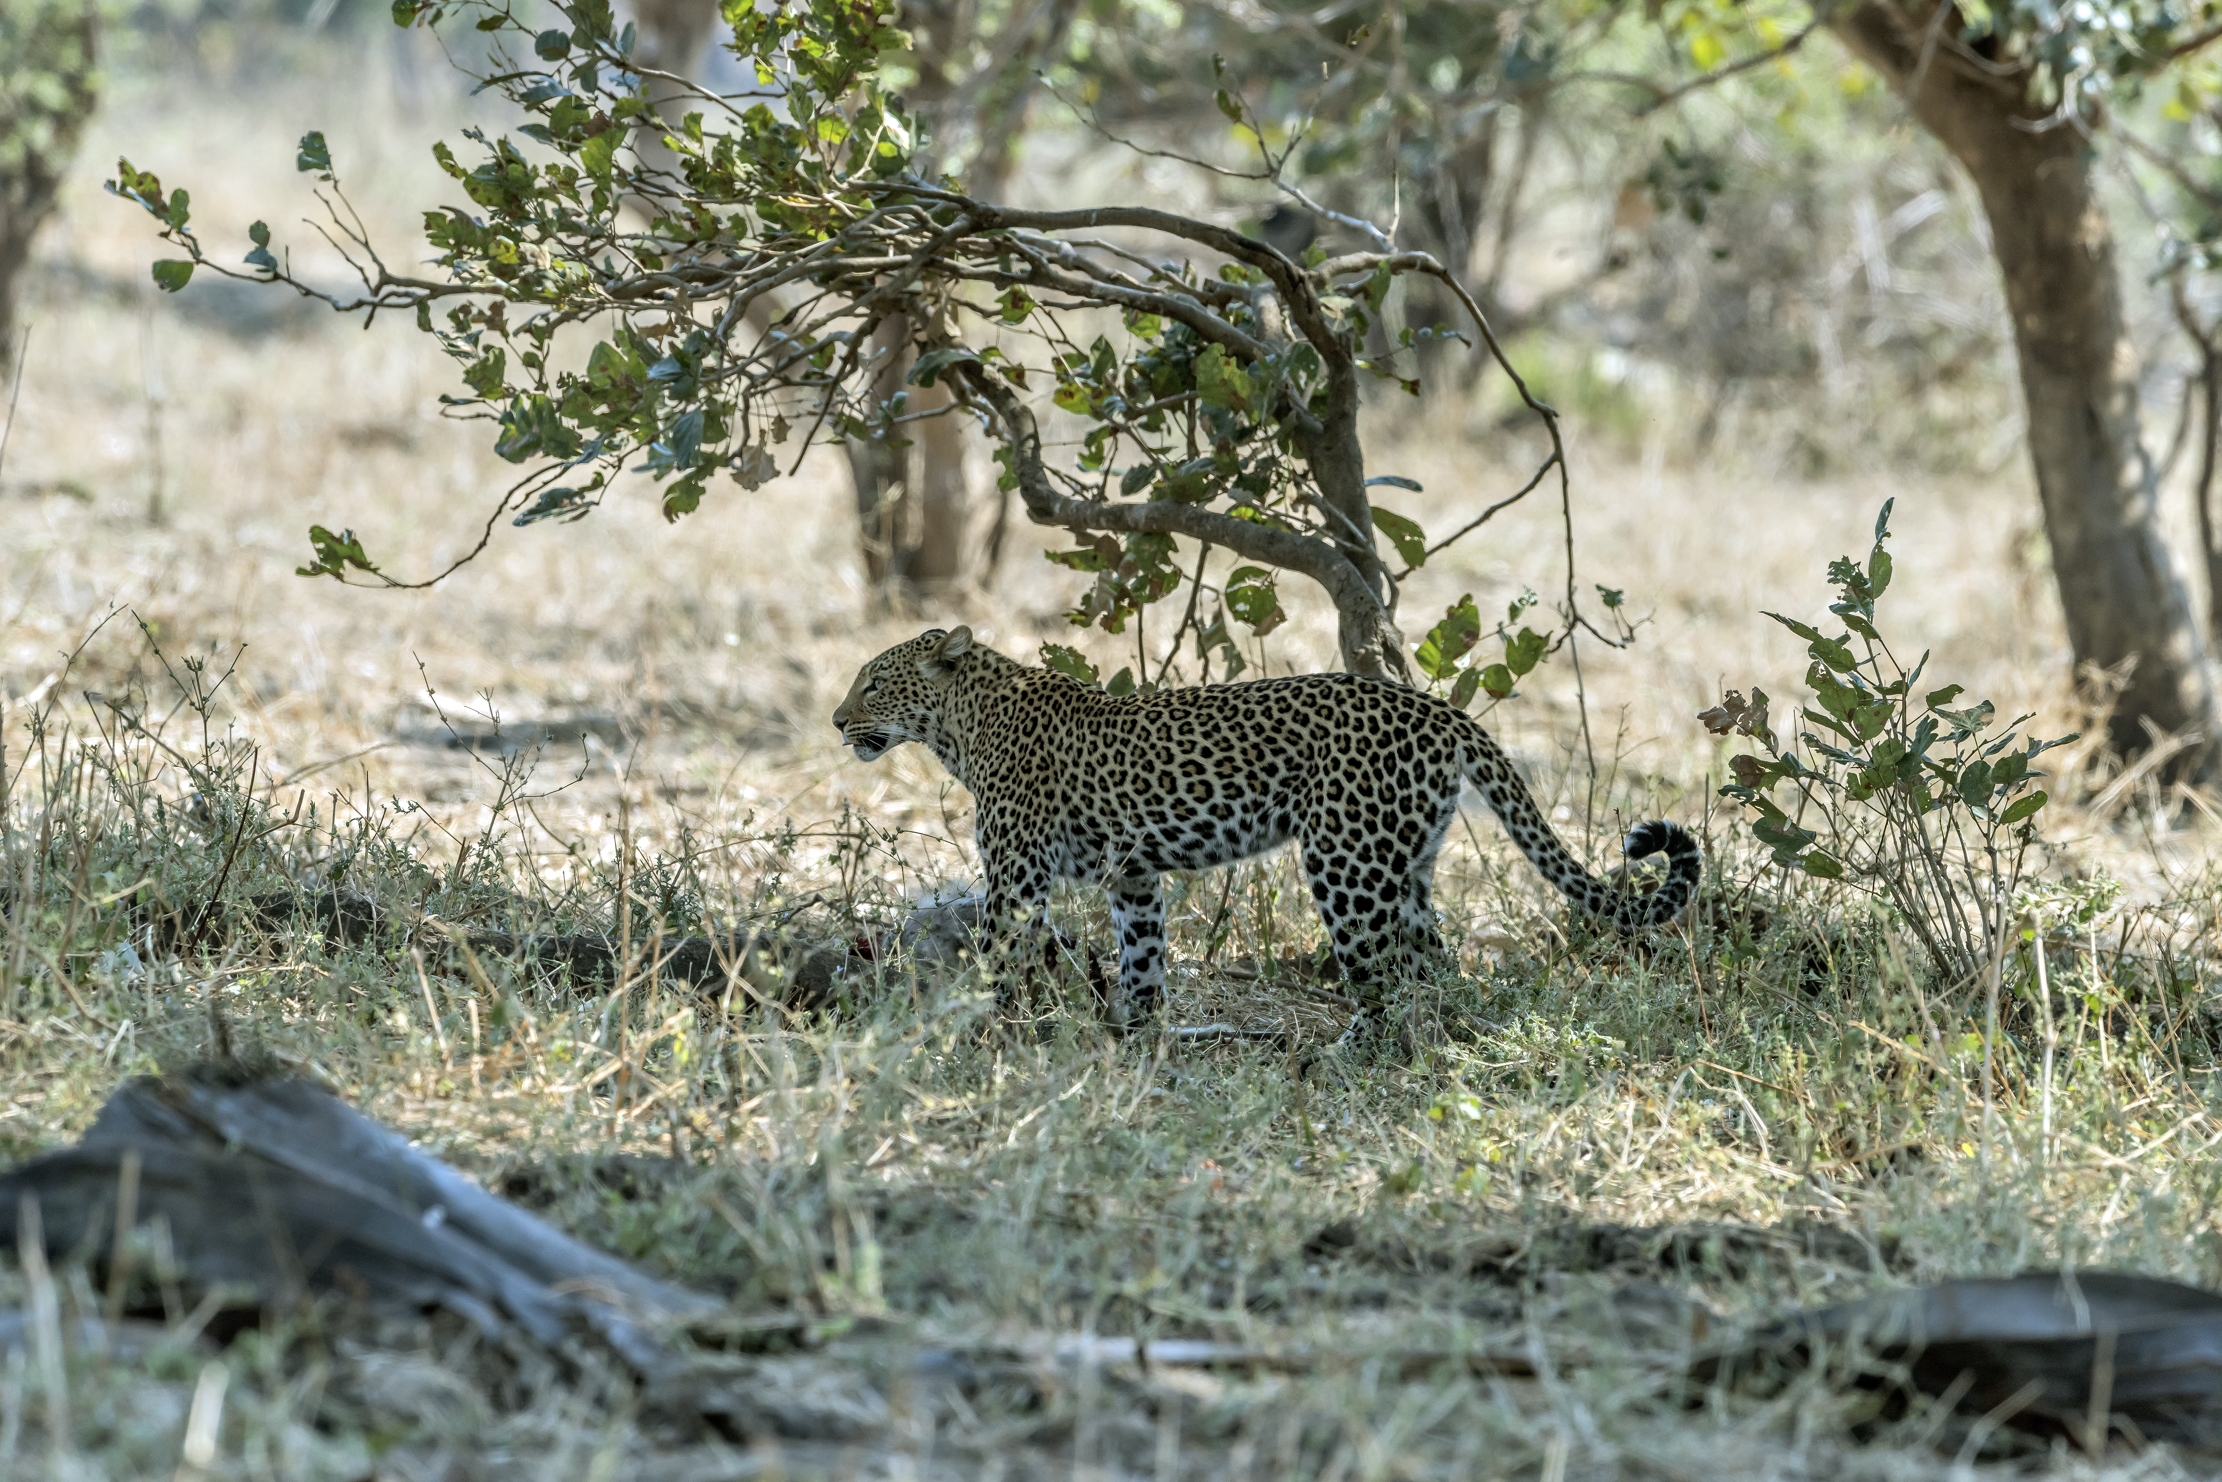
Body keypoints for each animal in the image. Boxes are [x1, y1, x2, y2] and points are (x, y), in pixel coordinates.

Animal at [831, 625, 1700, 1029]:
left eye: (873, 683)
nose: (838, 722)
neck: (961, 726)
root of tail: (1439, 711)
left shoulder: (1016, 880)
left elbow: (996, 964)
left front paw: (975, 1033)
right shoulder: (1133, 877)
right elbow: (1142, 961)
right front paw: (1134, 1036)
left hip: (1345, 861)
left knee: (1379, 977)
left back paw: (1353, 1056)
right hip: (1405, 863)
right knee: (1433, 966)